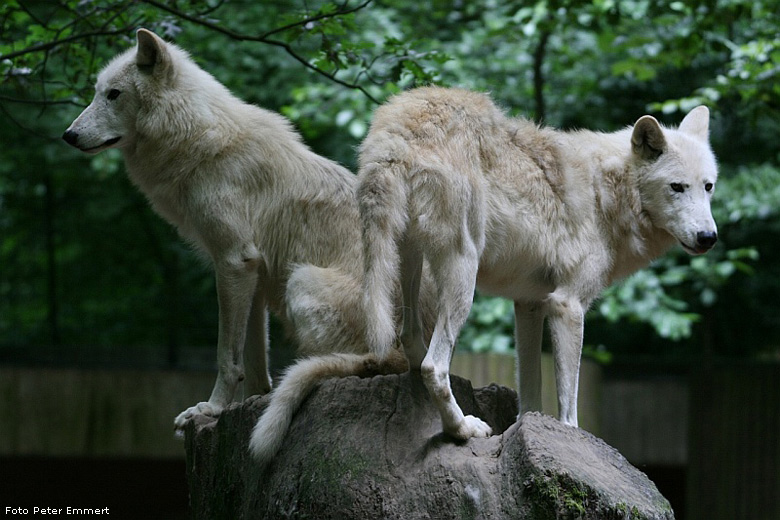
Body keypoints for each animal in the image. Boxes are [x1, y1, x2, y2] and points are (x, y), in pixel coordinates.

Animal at [61, 29, 426, 446]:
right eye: (97, 92)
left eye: (114, 94)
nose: (68, 135)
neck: (198, 140)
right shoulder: (254, 274)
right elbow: (252, 359)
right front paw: (249, 403)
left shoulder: (234, 261)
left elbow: (226, 355)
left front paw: (211, 409)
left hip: (304, 282)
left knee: (370, 364)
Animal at [360, 87, 720, 440]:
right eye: (677, 187)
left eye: (708, 186)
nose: (708, 237)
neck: (608, 192)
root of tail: (396, 130)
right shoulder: (567, 304)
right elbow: (568, 405)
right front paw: (569, 439)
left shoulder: (529, 304)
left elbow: (531, 395)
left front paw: (526, 429)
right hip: (463, 274)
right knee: (433, 367)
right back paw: (462, 429)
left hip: (408, 262)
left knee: (410, 341)